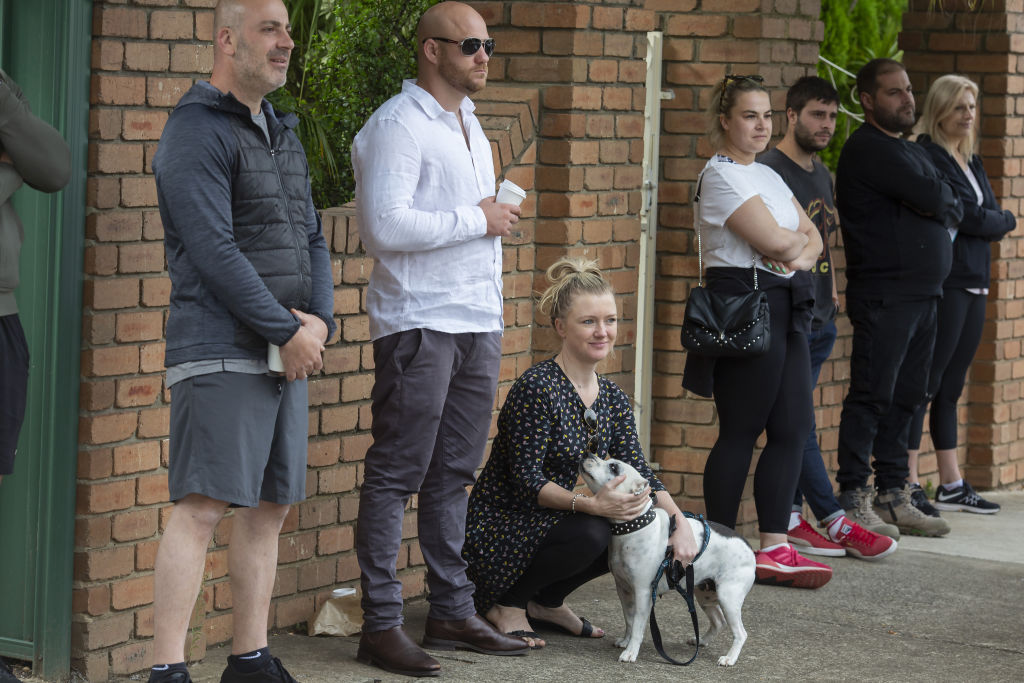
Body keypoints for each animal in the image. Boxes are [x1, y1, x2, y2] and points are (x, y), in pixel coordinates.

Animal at [581, 456, 757, 663]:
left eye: (614, 467)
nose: (588, 455)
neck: (633, 526)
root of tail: (749, 548)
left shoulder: (643, 593)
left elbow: (638, 626)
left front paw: (631, 652)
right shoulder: (624, 590)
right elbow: (629, 620)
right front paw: (625, 641)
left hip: (728, 597)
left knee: (740, 633)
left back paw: (729, 658)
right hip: (704, 594)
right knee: (718, 620)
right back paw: (701, 641)